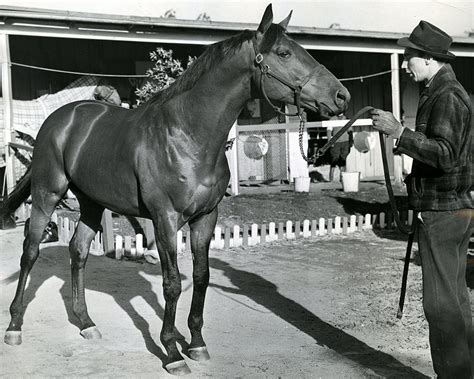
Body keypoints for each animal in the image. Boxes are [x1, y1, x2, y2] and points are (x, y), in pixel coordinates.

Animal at [1, 3, 350, 378]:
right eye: (284, 52)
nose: (341, 96)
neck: (188, 135)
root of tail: (62, 117)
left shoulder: (205, 218)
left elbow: (201, 277)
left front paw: (196, 343)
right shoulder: (165, 219)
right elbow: (172, 283)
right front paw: (171, 351)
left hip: (92, 202)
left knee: (78, 251)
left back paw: (86, 323)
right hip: (47, 194)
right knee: (30, 252)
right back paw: (15, 327)